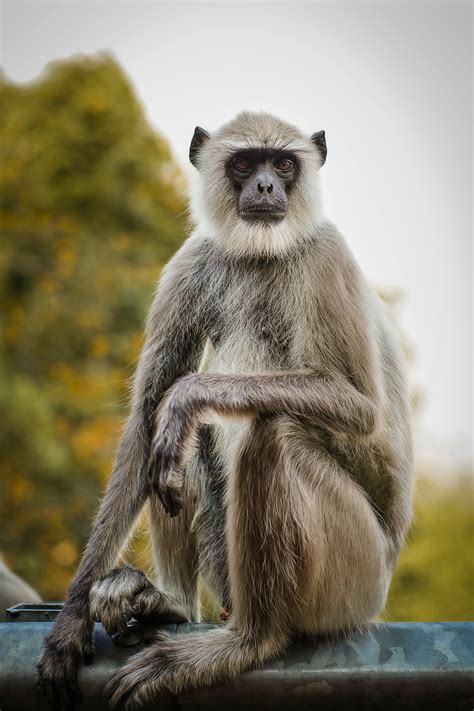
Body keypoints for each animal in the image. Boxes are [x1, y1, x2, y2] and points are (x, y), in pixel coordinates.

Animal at [36, 111, 414, 710]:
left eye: (283, 163)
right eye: (243, 163)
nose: (265, 187)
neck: (262, 252)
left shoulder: (325, 254)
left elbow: (358, 409)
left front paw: (187, 397)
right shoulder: (191, 263)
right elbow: (146, 422)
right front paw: (70, 622)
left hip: (353, 578)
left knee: (269, 432)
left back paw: (251, 642)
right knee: (174, 451)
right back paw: (171, 602)